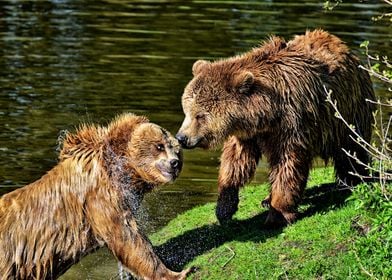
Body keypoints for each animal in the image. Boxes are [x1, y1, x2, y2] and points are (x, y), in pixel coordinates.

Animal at [0, 113, 193, 280]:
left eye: (177, 150)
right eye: (159, 146)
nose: (174, 163)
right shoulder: (100, 196)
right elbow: (128, 237)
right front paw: (178, 273)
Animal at [176, 29, 376, 225]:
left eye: (200, 116)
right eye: (187, 110)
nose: (181, 137)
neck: (267, 115)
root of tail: (344, 47)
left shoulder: (292, 125)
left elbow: (287, 165)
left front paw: (278, 214)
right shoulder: (247, 134)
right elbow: (235, 161)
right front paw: (224, 207)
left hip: (349, 112)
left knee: (351, 150)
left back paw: (355, 180)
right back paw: (266, 199)